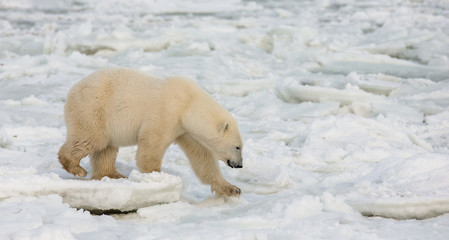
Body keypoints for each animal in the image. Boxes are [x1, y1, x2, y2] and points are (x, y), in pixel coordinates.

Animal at [58, 66, 245, 196]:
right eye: (237, 147)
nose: (240, 165)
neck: (188, 103)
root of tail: (71, 91)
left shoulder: (185, 129)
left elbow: (202, 157)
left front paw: (231, 188)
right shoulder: (166, 110)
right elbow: (152, 144)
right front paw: (157, 177)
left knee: (106, 148)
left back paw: (114, 174)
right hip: (93, 109)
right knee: (91, 138)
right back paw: (77, 168)